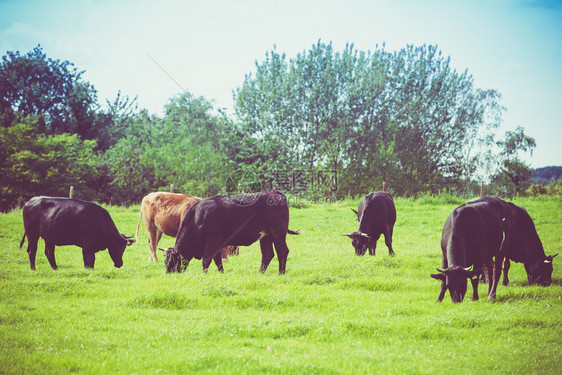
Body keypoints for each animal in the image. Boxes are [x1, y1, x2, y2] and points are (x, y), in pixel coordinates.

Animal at [162, 192, 298, 274]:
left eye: (173, 261)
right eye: (165, 262)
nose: (169, 274)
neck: (197, 218)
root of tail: (275, 193)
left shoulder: (212, 241)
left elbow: (207, 260)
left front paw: (204, 275)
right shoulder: (217, 245)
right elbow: (217, 260)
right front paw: (221, 273)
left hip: (278, 233)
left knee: (282, 252)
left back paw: (281, 273)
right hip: (266, 236)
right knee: (267, 254)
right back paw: (260, 273)